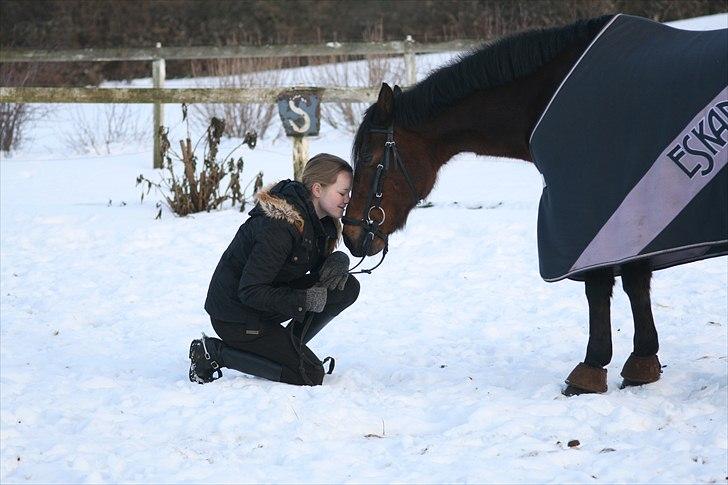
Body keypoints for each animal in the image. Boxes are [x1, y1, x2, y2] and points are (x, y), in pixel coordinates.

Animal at [342, 13, 728, 396]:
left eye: (367, 156)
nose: (351, 234)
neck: (549, 98)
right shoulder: (632, 215)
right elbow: (635, 280)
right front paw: (642, 363)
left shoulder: (593, 212)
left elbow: (599, 285)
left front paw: (590, 369)